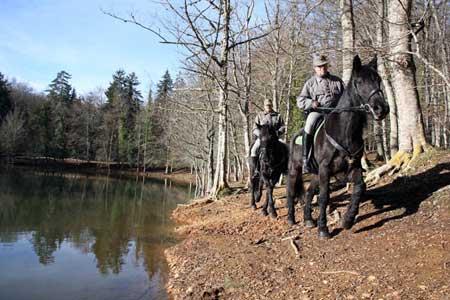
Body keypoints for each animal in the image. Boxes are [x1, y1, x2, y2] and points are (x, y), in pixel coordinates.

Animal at [288, 55, 390, 239]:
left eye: (378, 80)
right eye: (359, 82)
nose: (382, 109)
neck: (344, 131)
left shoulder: (353, 167)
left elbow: (359, 188)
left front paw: (348, 220)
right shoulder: (325, 170)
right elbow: (324, 197)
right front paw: (323, 229)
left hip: (316, 173)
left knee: (309, 192)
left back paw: (308, 219)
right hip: (295, 170)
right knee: (292, 193)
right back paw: (291, 219)